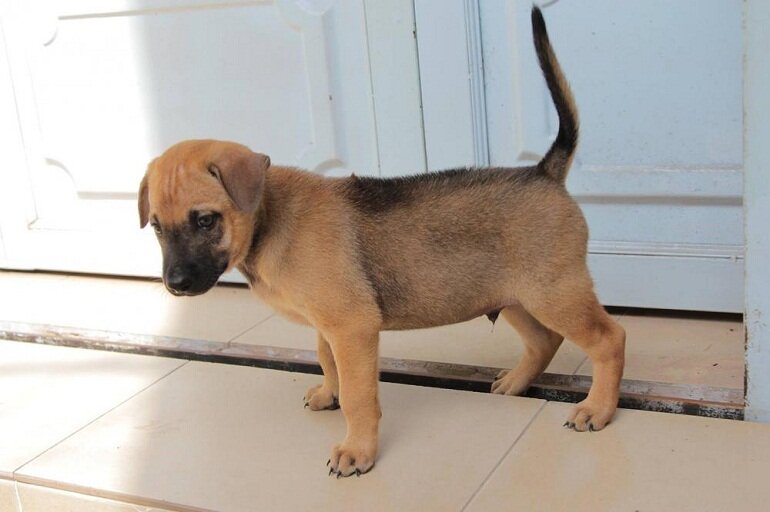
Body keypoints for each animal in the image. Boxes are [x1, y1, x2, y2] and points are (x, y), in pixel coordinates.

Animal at [138, 8, 624, 478]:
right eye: (157, 227)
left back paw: (598, 409)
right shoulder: (330, 326)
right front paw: (329, 394)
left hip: (553, 292)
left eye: (205, 220)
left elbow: (359, 396)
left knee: (609, 338)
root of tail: (544, 172)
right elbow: (327, 359)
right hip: (514, 296)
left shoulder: (352, 326)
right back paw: (517, 383)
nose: (174, 285)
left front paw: (357, 450)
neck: (269, 217)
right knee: (545, 341)